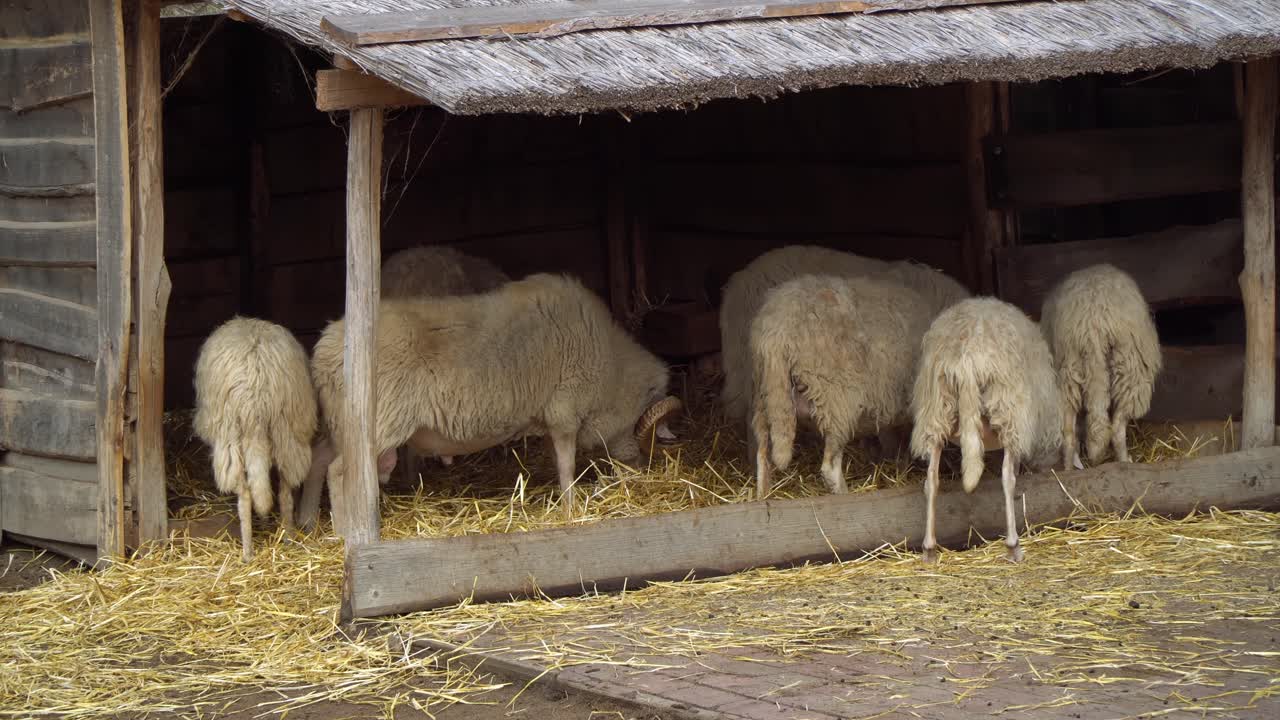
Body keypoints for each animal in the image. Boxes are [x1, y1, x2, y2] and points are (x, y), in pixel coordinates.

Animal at [193, 317, 318, 561]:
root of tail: (257, 392)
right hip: (288, 431)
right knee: (285, 493)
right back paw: (288, 539)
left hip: (230, 437)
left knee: (245, 495)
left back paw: (248, 552)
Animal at [298, 273, 682, 525]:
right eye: (646, 432)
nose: (640, 468)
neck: (612, 367)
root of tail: (325, 350)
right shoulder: (565, 412)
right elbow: (567, 467)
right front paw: (571, 508)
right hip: (378, 422)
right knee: (340, 471)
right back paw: (346, 531)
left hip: (340, 421)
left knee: (318, 460)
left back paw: (308, 524)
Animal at [750, 275, 935, 497]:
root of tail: (777, 332)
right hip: (836, 399)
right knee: (829, 467)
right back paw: (844, 493)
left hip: (765, 396)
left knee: (762, 455)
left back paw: (763, 494)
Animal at [910, 298, 1062, 564]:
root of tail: (968, 357)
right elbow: (1012, 470)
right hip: (1008, 407)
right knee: (1006, 477)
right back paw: (1013, 546)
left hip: (935, 410)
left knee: (931, 478)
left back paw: (929, 549)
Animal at [1040, 264, 1162, 469]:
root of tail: (1093, 324)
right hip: (1131, 368)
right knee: (1118, 428)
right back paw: (1124, 461)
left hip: (1068, 371)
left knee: (1068, 432)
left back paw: (1068, 469)